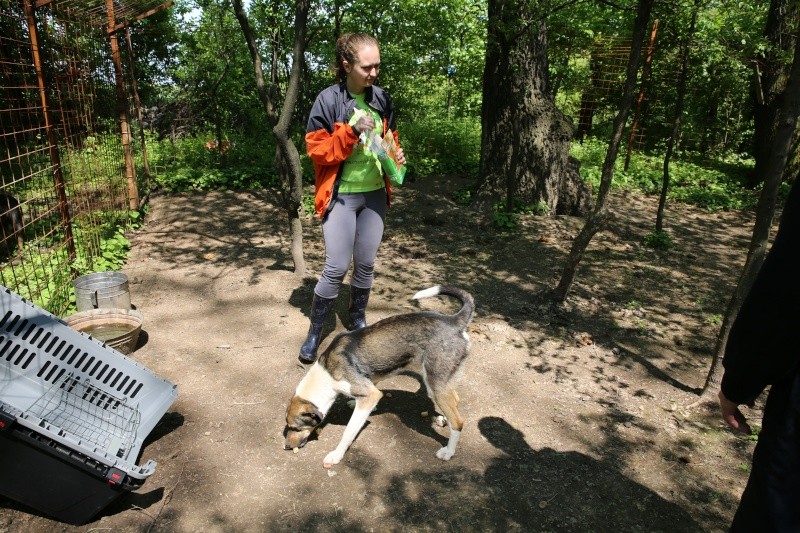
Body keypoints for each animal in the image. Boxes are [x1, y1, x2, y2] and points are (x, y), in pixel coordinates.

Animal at [282, 284, 476, 468]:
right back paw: (443, 419)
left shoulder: (370, 394)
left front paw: (336, 455)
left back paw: (448, 451)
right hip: (441, 383)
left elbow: (348, 432)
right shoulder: (370, 386)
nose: (286, 447)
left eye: (296, 428)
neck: (326, 374)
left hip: (435, 384)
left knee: (458, 422)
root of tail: (454, 320)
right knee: (455, 400)